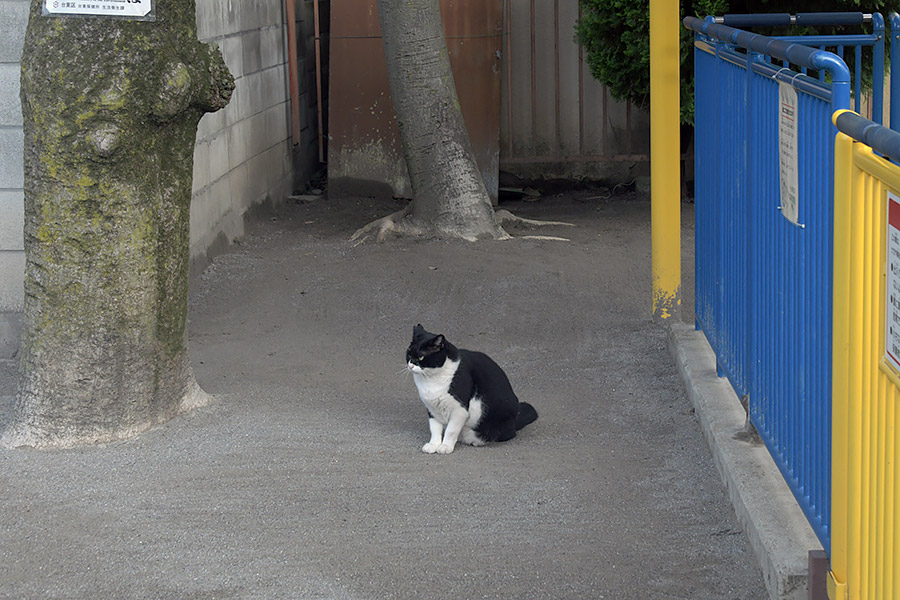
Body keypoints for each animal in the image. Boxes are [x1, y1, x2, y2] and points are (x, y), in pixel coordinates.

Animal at [406, 326, 536, 452]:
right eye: (408, 354)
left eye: (421, 357)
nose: (410, 365)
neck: (430, 380)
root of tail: (515, 419)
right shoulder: (432, 408)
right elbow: (434, 428)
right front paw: (433, 445)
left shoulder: (460, 410)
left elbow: (451, 430)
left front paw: (446, 446)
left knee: (503, 434)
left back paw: (473, 439)